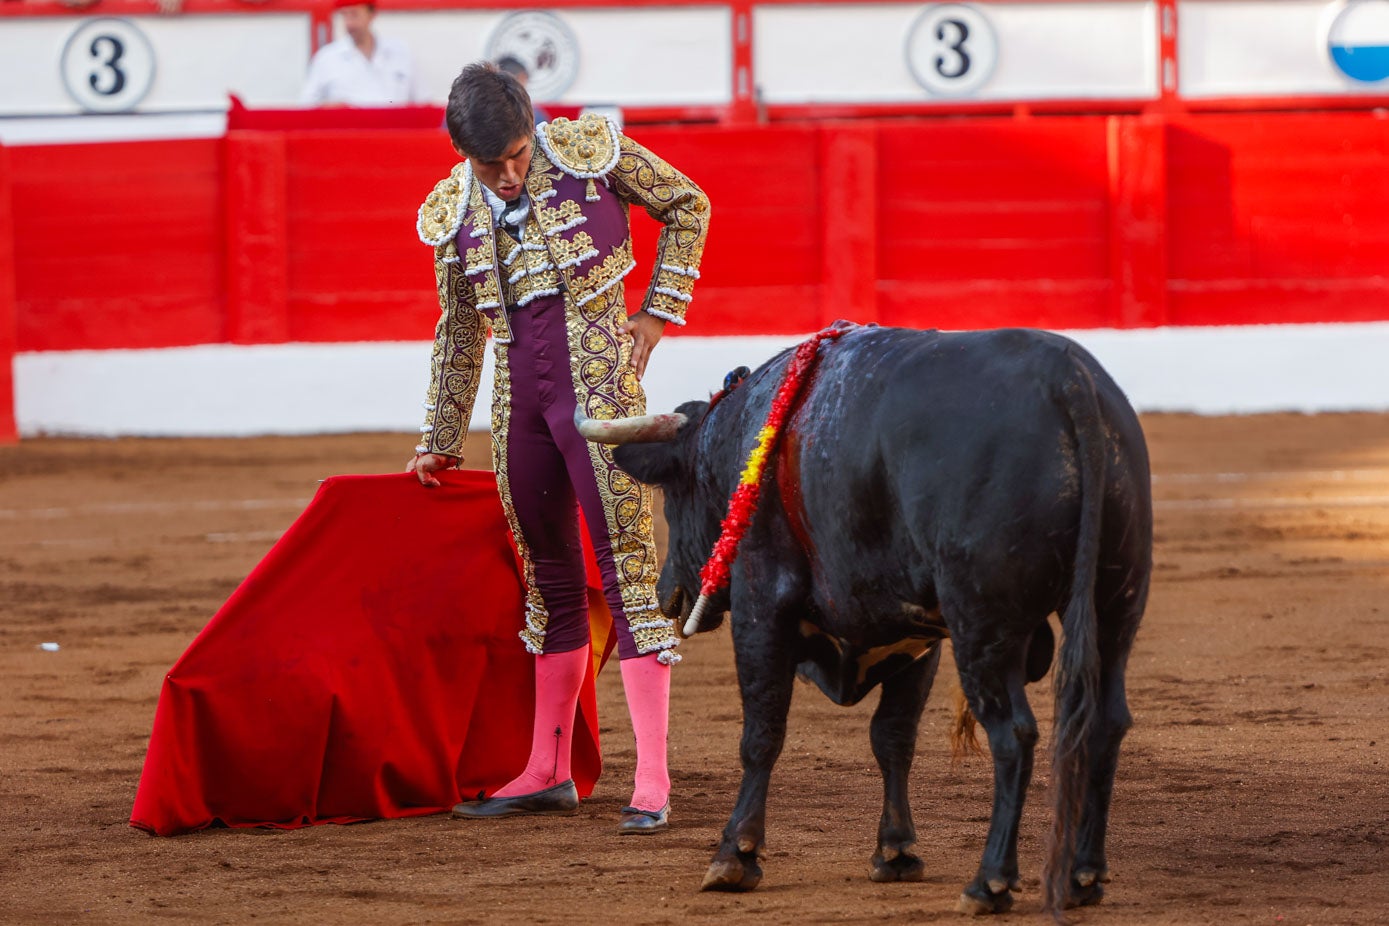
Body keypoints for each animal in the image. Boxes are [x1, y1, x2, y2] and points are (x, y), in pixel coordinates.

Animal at [575, 327, 1150, 921]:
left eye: (673, 493)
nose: (666, 592)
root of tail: (1069, 380)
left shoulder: (763, 605)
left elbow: (762, 733)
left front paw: (736, 854)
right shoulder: (920, 635)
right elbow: (893, 737)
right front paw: (895, 851)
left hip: (982, 626)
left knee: (1012, 733)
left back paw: (990, 881)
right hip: (1115, 607)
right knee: (1105, 722)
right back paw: (1085, 876)